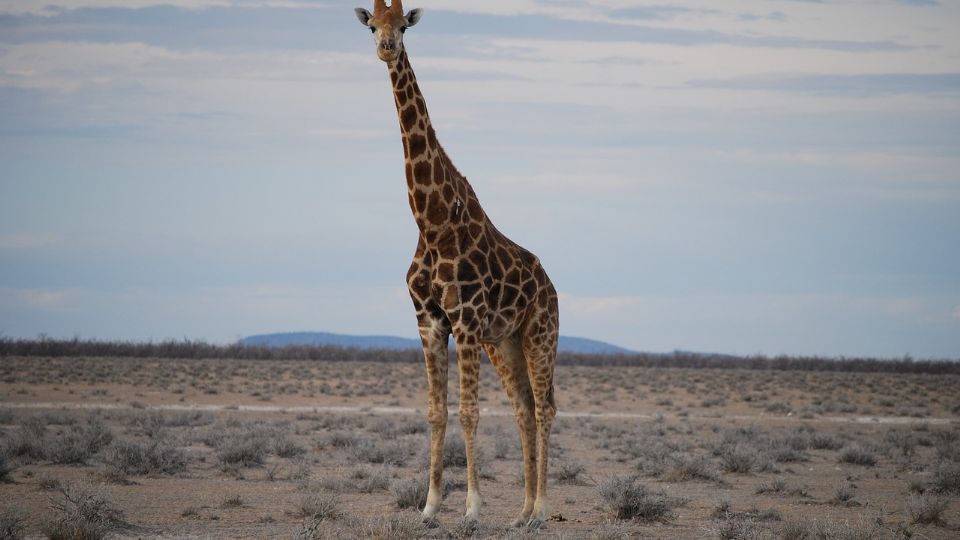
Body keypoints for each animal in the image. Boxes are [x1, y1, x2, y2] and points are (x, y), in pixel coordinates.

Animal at [356, 0, 560, 524]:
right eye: (372, 24)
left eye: (404, 25)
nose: (387, 47)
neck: (430, 223)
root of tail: (551, 285)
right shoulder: (429, 322)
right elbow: (437, 412)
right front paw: (429, 505)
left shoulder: (465, 321)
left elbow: (469, 411)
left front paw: (472, 506)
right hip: (504, 342)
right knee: (523, 409)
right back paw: (522, 512)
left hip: (539, 333)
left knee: (545, 407)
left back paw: (542, 508)